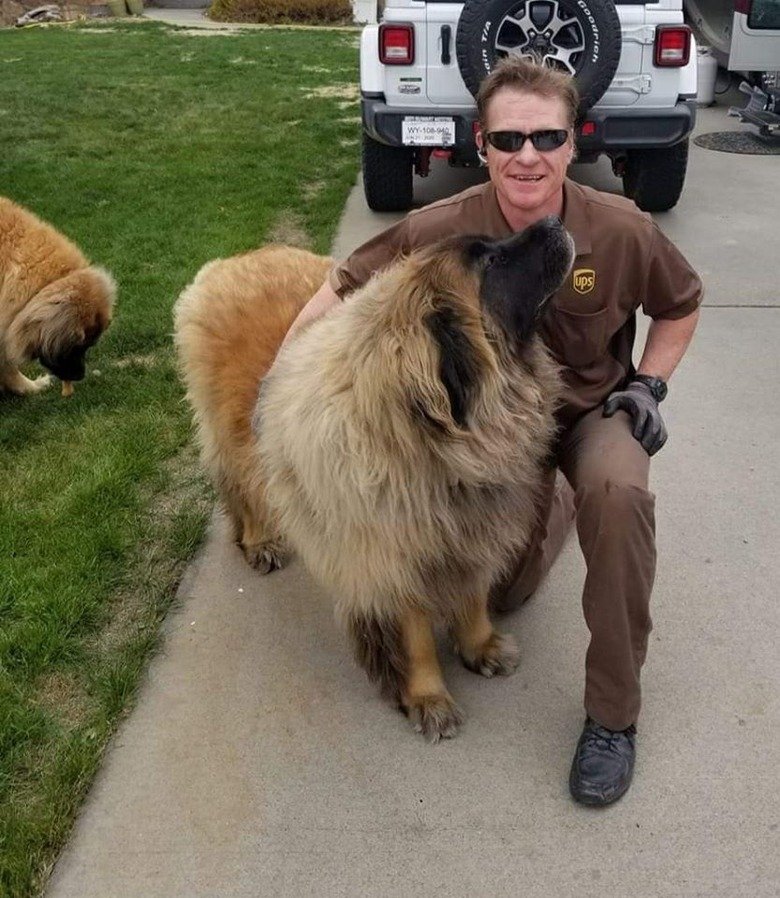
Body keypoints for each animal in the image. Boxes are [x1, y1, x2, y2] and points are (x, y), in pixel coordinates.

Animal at [178, 220, 580, 740]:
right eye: (493, 261)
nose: (553, 222)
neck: (428, 435)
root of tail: (236, 259)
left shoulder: (470, 533)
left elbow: (472, 598)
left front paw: (481, 647)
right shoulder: (389, 560)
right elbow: (415, 638)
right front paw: (428, 697)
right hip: (231, 438)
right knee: (243, 492)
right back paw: (261, 541)